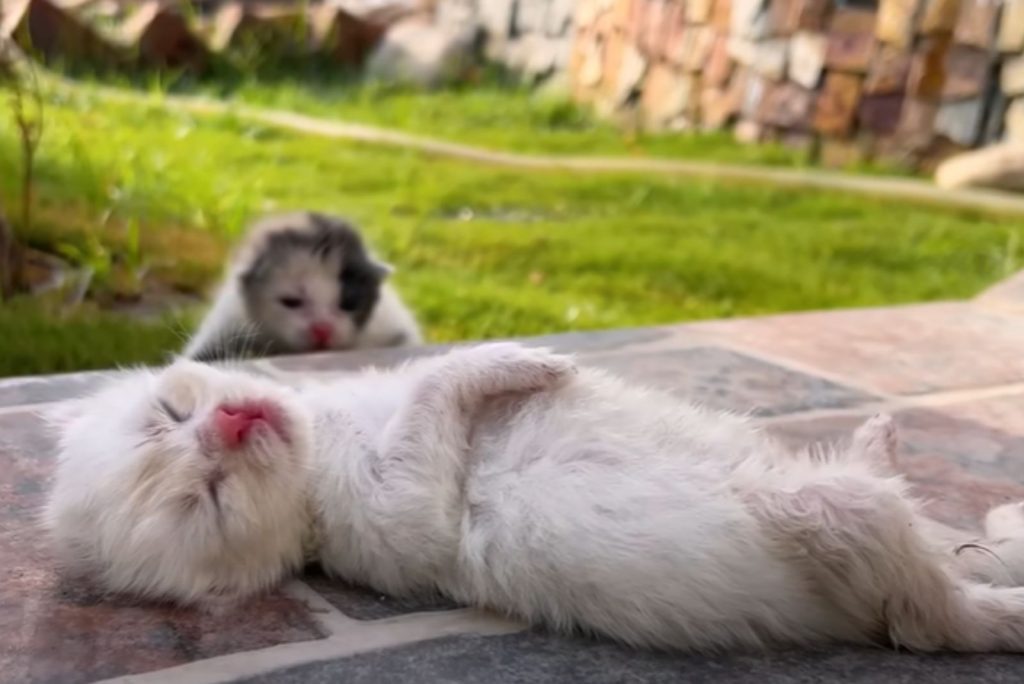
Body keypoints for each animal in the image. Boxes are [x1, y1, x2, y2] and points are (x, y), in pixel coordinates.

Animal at [46, 344, 1024, 655]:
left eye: (173, 412)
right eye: (208, 499)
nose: (233, 423)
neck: (322, 446)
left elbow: (423, 374)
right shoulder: (401, 521)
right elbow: (439, 391)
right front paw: (511, 362)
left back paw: (887, 448)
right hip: (840, 527)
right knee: (932, 613)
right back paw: (994, 608)